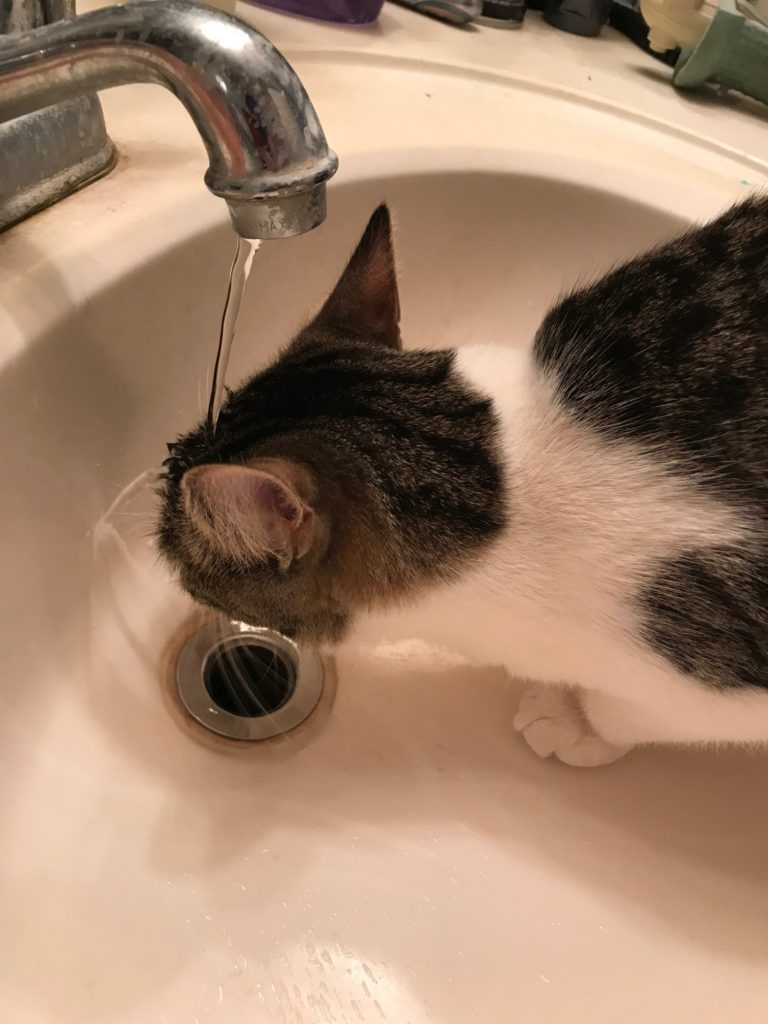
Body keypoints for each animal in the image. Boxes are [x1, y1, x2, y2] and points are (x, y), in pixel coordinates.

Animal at [157, 199, 768, 765]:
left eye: (180, 564)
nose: (165, 479)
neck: (504, 481)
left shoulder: (698, 685)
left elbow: (624, 710)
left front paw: (574, 722)